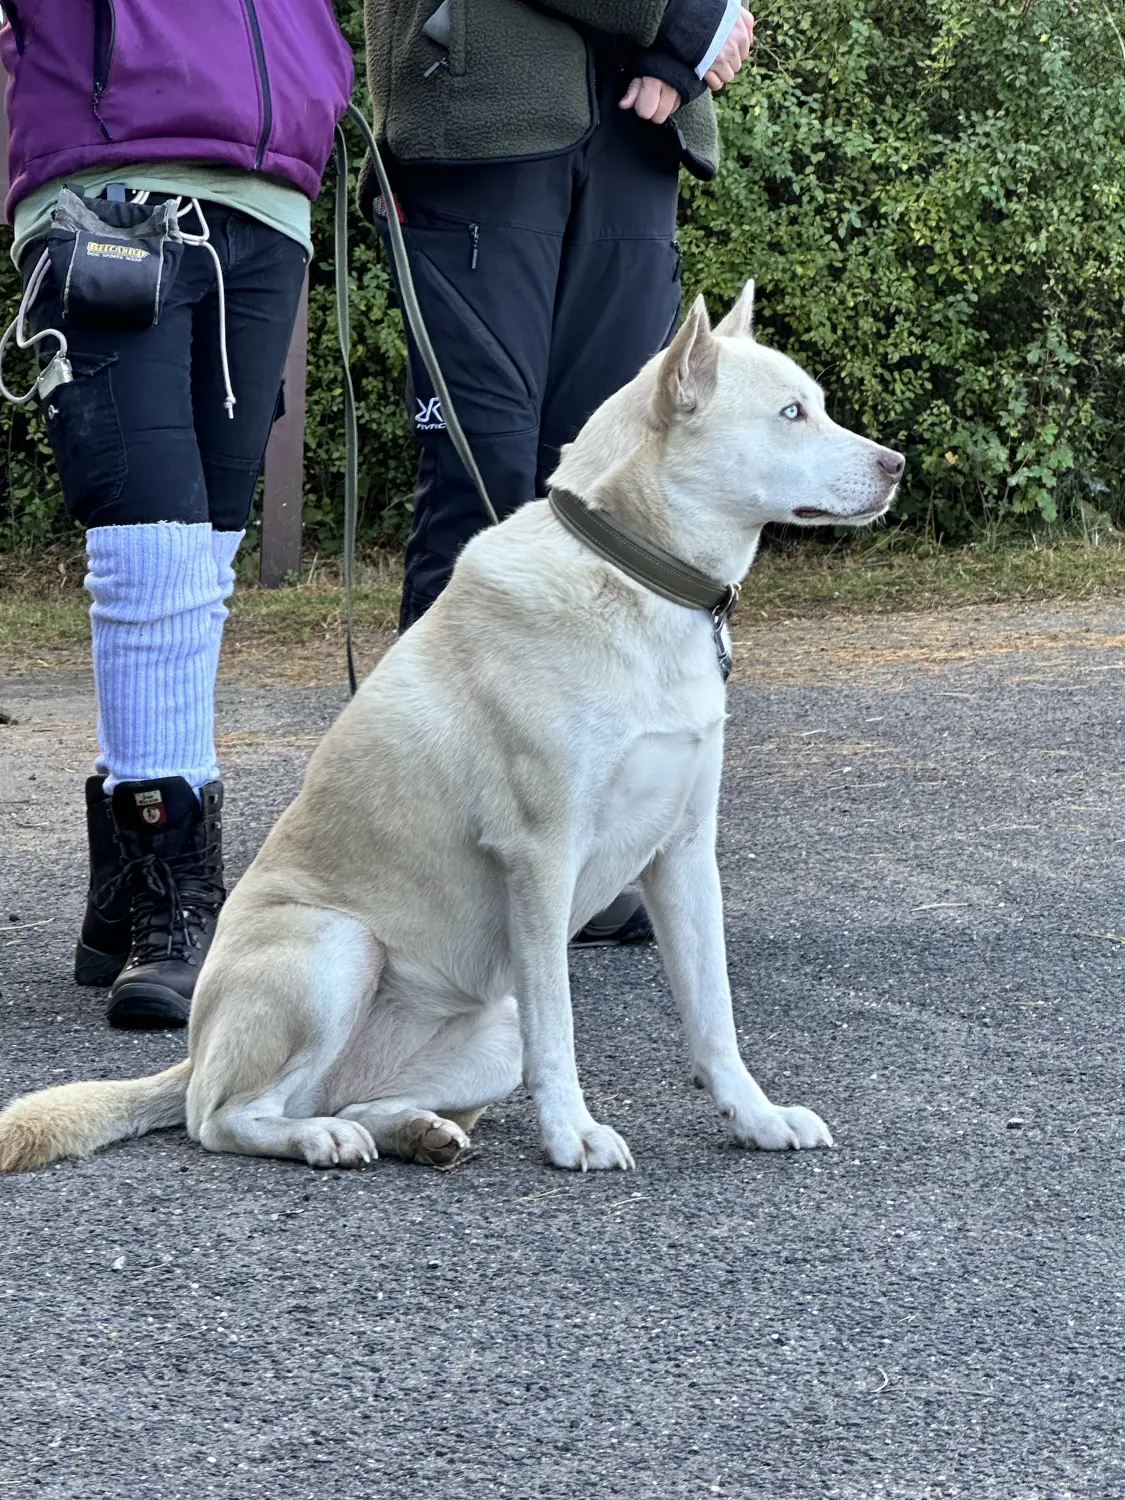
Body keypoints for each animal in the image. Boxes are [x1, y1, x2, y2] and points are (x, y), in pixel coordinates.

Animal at [0, 282, 906, 1170]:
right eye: (790, 413)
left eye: (817, 405)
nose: (896, 465)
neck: (628, 571)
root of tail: (195, 1051)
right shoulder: (539, 858)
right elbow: (560, 1024)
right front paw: (572, 1134)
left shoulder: (684, 853)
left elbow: (713, 1014)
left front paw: (755, 1117)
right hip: (337, 950)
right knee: (222, 1118)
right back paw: (319, 1140)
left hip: (488, 1030)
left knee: (348, 1100)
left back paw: (413, 1130)